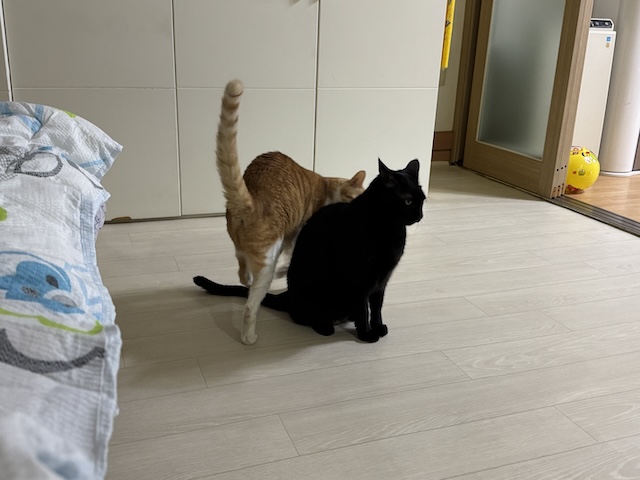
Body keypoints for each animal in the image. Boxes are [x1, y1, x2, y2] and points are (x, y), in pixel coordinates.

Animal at [195, 158, 425, 343]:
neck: (391, 228)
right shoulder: (360, 280)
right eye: (408, 201)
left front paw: (377, 327)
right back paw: (325, 326)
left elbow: (376, 307)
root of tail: (288, 295)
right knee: (302, 316)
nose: (420, 216)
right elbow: (363, 308)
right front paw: (367, 334)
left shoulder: (382, 280)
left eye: (422, 200)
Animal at [215, 79, 366, 345]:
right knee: (250, 306)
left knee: (241, 265)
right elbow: (291, 260)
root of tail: (251, 199)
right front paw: (284, 272)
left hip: (243, 249)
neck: (328, 187)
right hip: (268, 259)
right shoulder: (297, 236)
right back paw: (249, 337)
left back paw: (247, 279)